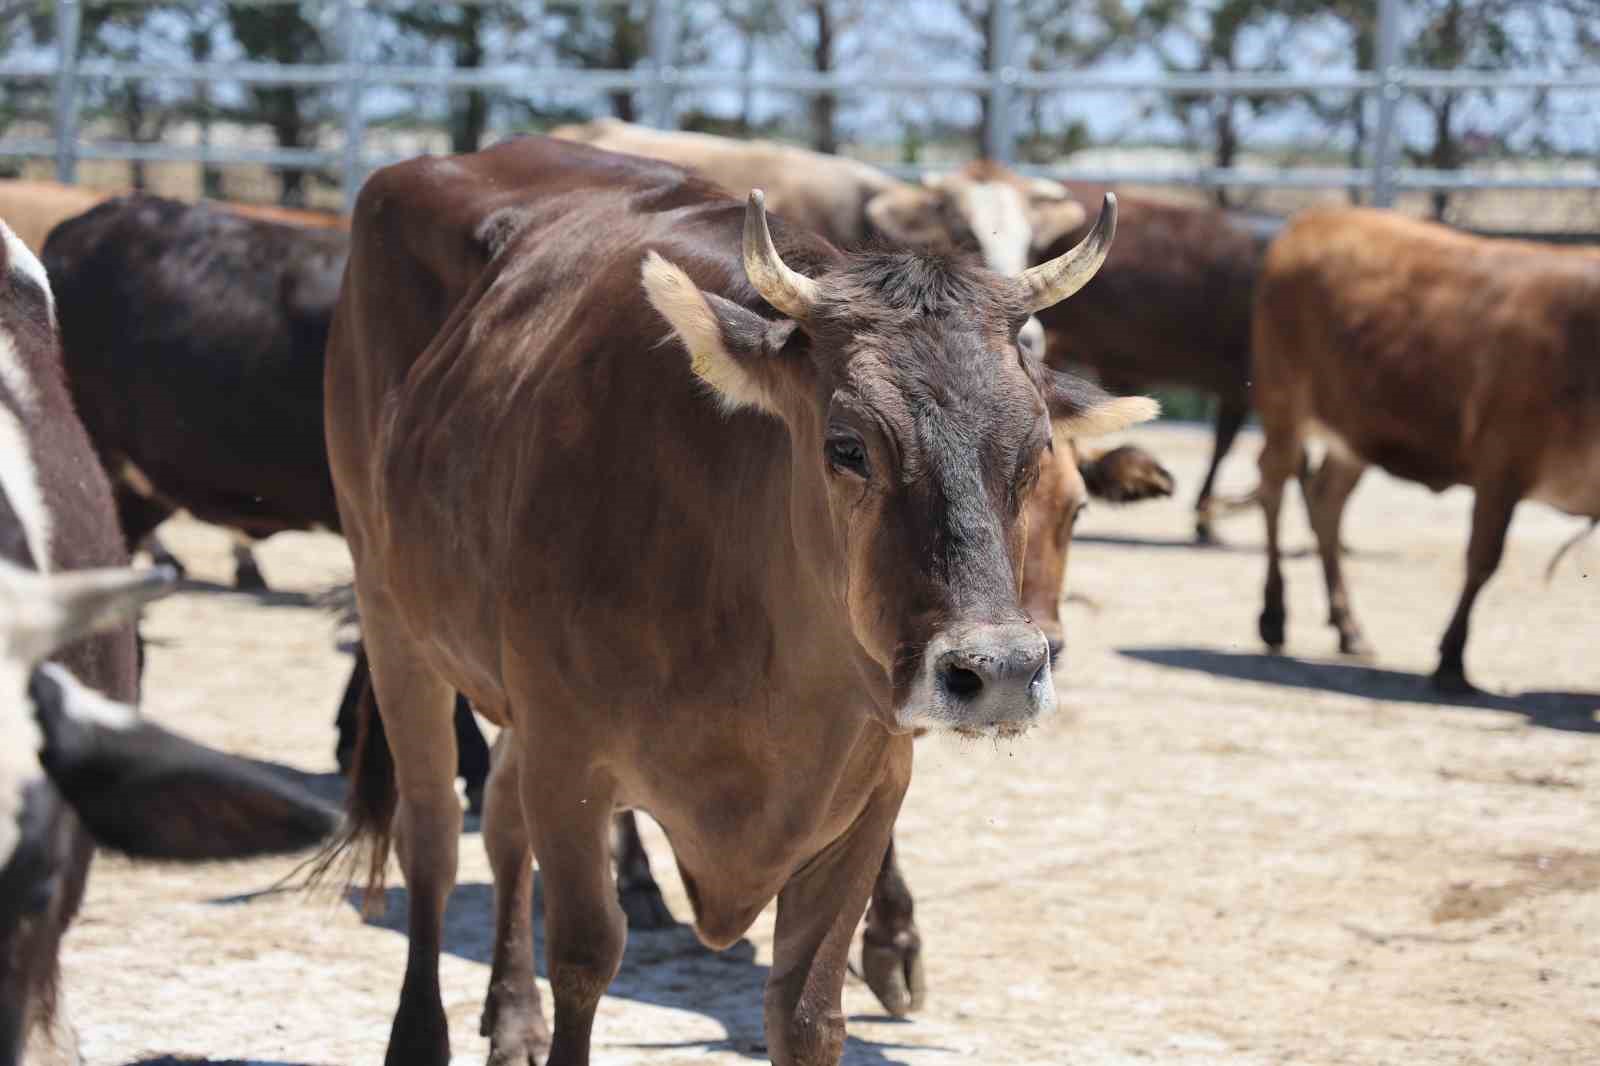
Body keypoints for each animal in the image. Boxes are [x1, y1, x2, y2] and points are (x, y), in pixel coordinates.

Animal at [324, 135, 1152, 1062]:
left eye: (1036, 452)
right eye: (847, 446)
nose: (1003, 670)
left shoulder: (871, 790)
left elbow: (806, 1010)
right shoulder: (569, 759)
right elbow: (583, 957)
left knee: (499, 821)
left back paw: (511, 1013)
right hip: (392, 617)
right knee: (430, 837)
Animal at [1248, 204, 1600, 688]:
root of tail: (1318, 216)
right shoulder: (1502, 461)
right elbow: (1483, 559)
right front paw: (1451, 657)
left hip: (1353, 433)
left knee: (1325, 501)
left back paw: (1348, 628)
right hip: (1284, 401)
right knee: (1273, 488)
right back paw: (1273, 614)